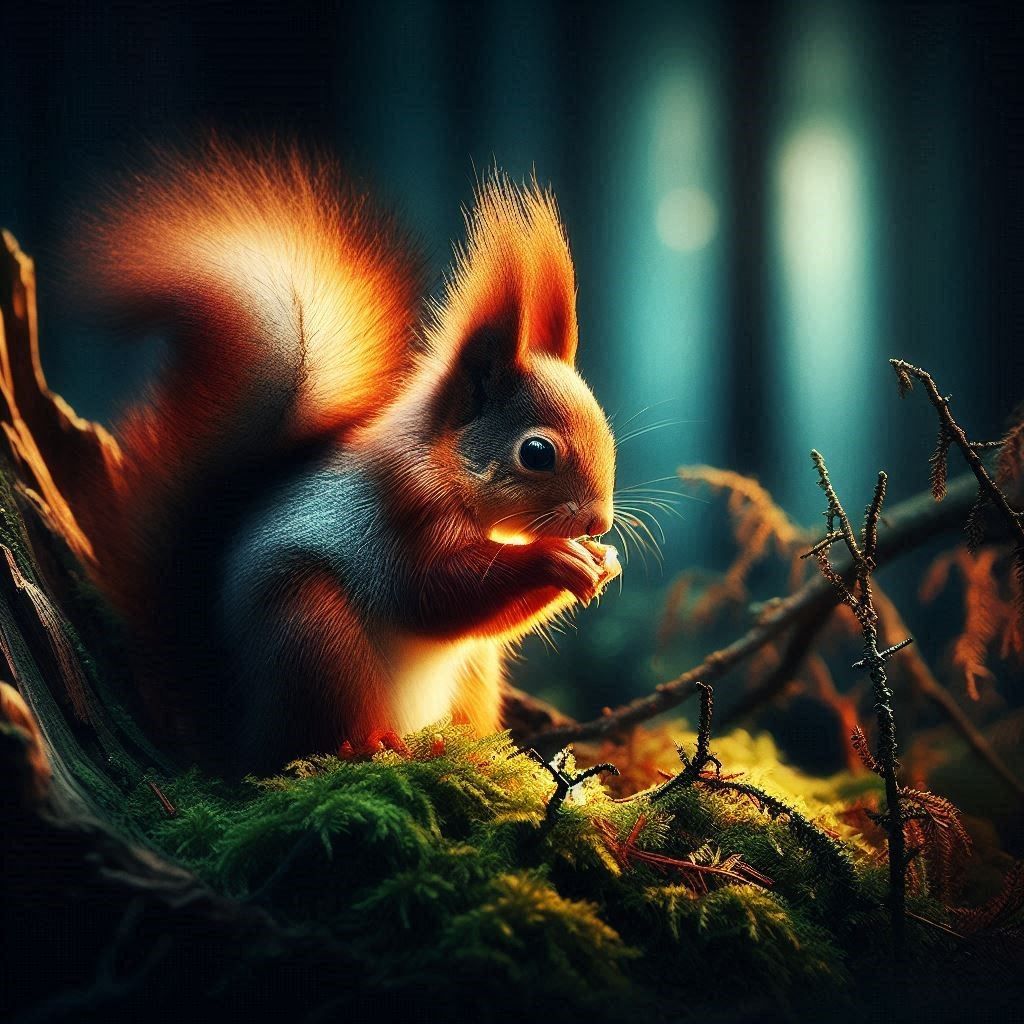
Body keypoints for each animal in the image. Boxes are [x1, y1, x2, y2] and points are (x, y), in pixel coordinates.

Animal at [69, 142, 620, 775]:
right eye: (536, 452)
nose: (599, 522)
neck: (444, 461)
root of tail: (233, 736)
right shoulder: (402, 509)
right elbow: (436, 594)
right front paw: (558, 559)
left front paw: (603, 562)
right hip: (310, 631)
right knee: (308, 741)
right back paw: (370, 747)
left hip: (471, 671)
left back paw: (469, 754)